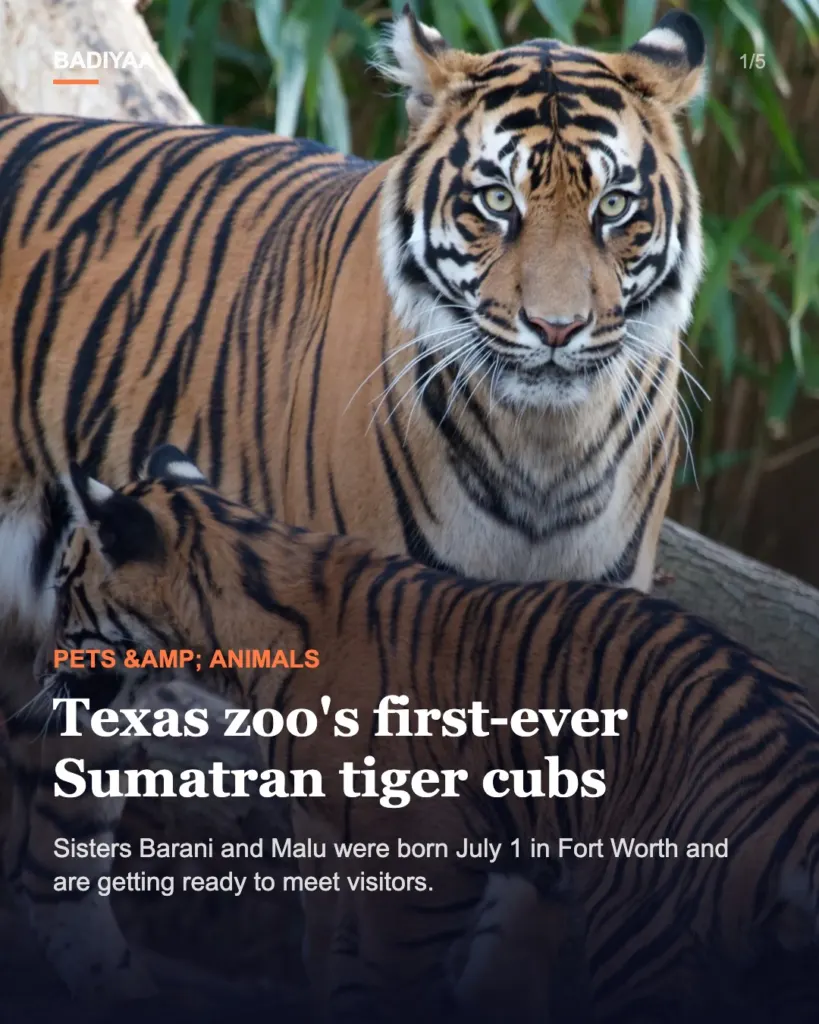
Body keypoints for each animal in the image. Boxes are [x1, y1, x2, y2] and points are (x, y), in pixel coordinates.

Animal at [31, 443, 819, 1024]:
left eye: (65, 586)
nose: (41, 671)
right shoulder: (342, 847)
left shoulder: (424, 858)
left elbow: (385, 975)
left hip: (643, 932)